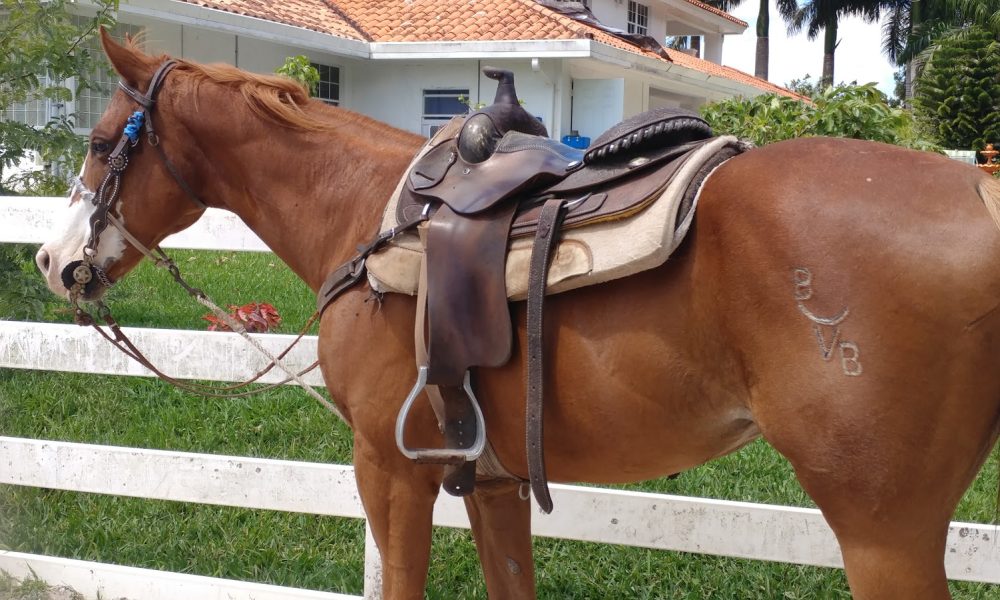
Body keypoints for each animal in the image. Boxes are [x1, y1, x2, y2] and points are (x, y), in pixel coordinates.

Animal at [35, 30, 1000, 599]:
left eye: (100, 143)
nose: (52, 262)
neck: (362, 211)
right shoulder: (490, 478)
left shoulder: (389, 469)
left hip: (884, 532)